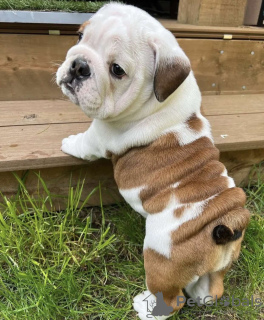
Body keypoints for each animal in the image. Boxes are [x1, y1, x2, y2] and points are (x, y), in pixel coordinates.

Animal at [56, 3, 251, 320]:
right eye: (80, 36)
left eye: (117, 70)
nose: (78, 65)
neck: (161, 97)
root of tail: (227, 221)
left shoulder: (99, 135)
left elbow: (83, 143)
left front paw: (68, 142)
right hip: (219, 267)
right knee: (211, 289)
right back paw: (200, 292)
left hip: (161, 258)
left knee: (172, 299)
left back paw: (146, 307)